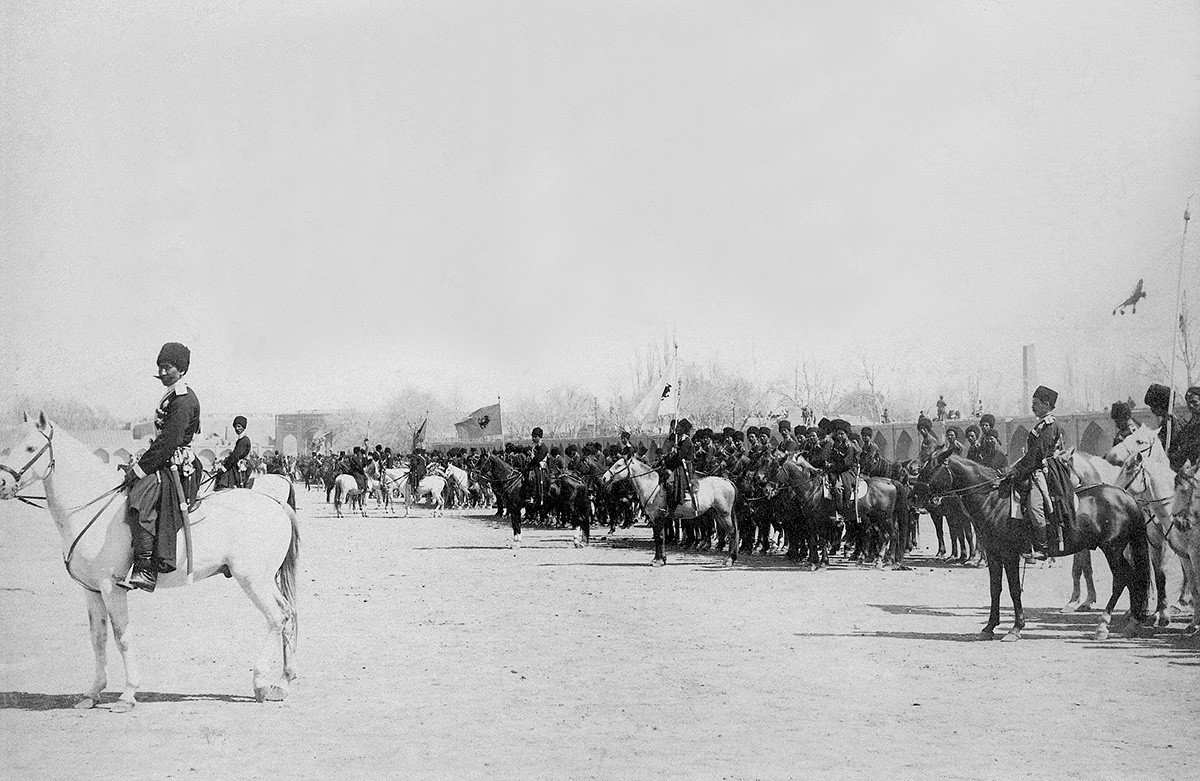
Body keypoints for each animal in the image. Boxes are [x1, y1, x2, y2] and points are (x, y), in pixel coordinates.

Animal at [0, 417, 300, 710]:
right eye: (8, 446)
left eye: (30, 448)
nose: (2, 483)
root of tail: (275, 503)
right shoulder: (92, 591)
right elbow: (98, 638)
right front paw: (93, 692)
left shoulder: (112, 588)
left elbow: (122, 637)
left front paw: (128, 693)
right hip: (264, 579)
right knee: (289, 615)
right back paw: (283, 683)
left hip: (252, 579)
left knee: (277, 617)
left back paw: (260, 682)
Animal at [597, 451, 734, 568]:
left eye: (618, 465)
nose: (604, 478)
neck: (652, 486)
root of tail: (727, 481)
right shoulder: (655, 518)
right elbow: (659, 537)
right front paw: (660, 559)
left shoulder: (658, 517)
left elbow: (660, 537)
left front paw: (658, 560)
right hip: (717, 514)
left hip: (724, 514)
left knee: (731, 532)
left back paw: (729, 559)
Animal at [916, 451, 1152, 643]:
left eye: (929, 469)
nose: (914, 496)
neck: (994, 501)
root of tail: (1127, 496)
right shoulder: (994, 555)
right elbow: (995, 589)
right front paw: (989, 627)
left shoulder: (1009, 555)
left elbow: (1013, 590)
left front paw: (1015, 628)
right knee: (1134, 579)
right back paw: (1133, 623)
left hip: (1112, 549)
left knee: (1122, 579)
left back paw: (1103, 625)